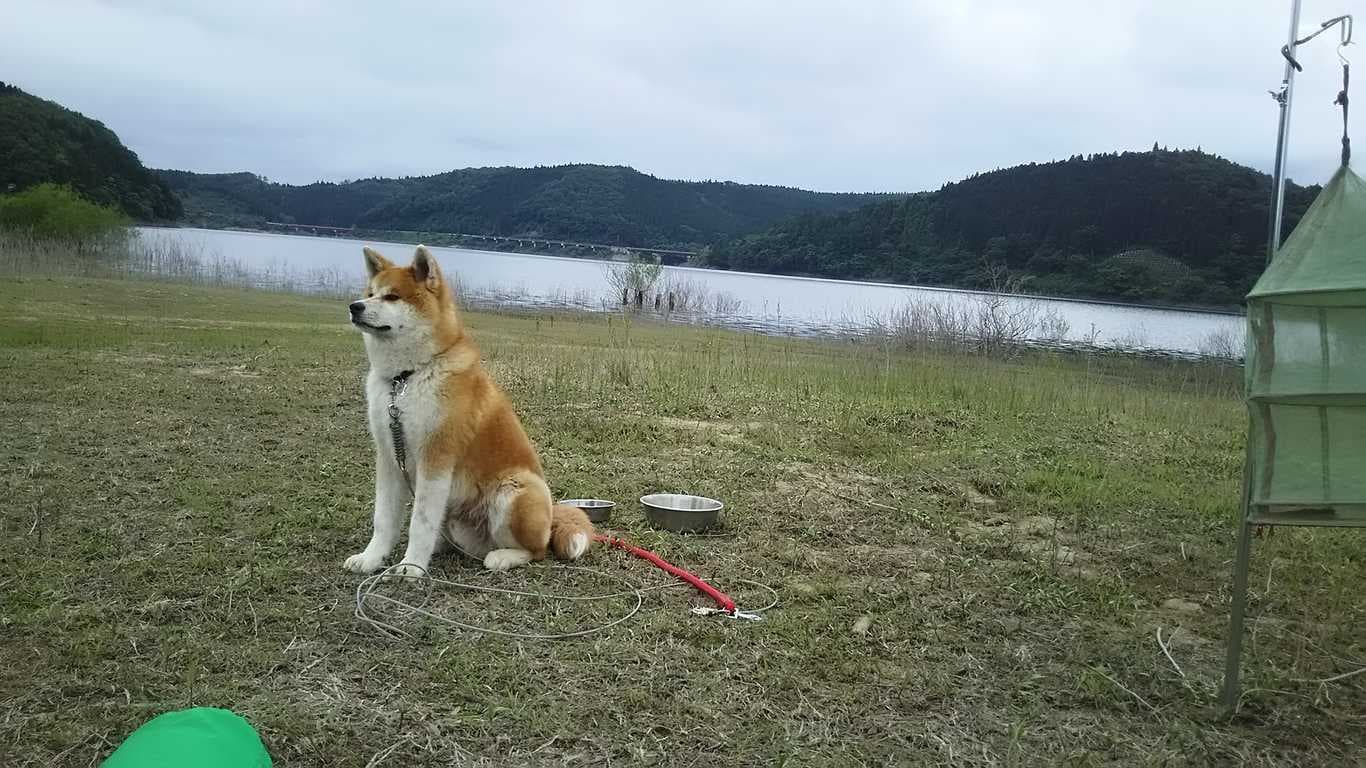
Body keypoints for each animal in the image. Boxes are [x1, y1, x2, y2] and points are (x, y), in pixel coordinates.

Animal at [341, 241, 592, 571]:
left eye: (392, 296)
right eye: (370, 293)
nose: (354, 306)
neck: (407, 377)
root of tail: (551, 513)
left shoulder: (436, 459)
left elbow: (419, 522)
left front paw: (411, 567)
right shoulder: (390, 456)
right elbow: (383, 519)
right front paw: (371, 559)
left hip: (515, 490)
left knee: (536, 550)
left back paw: (503, 556)